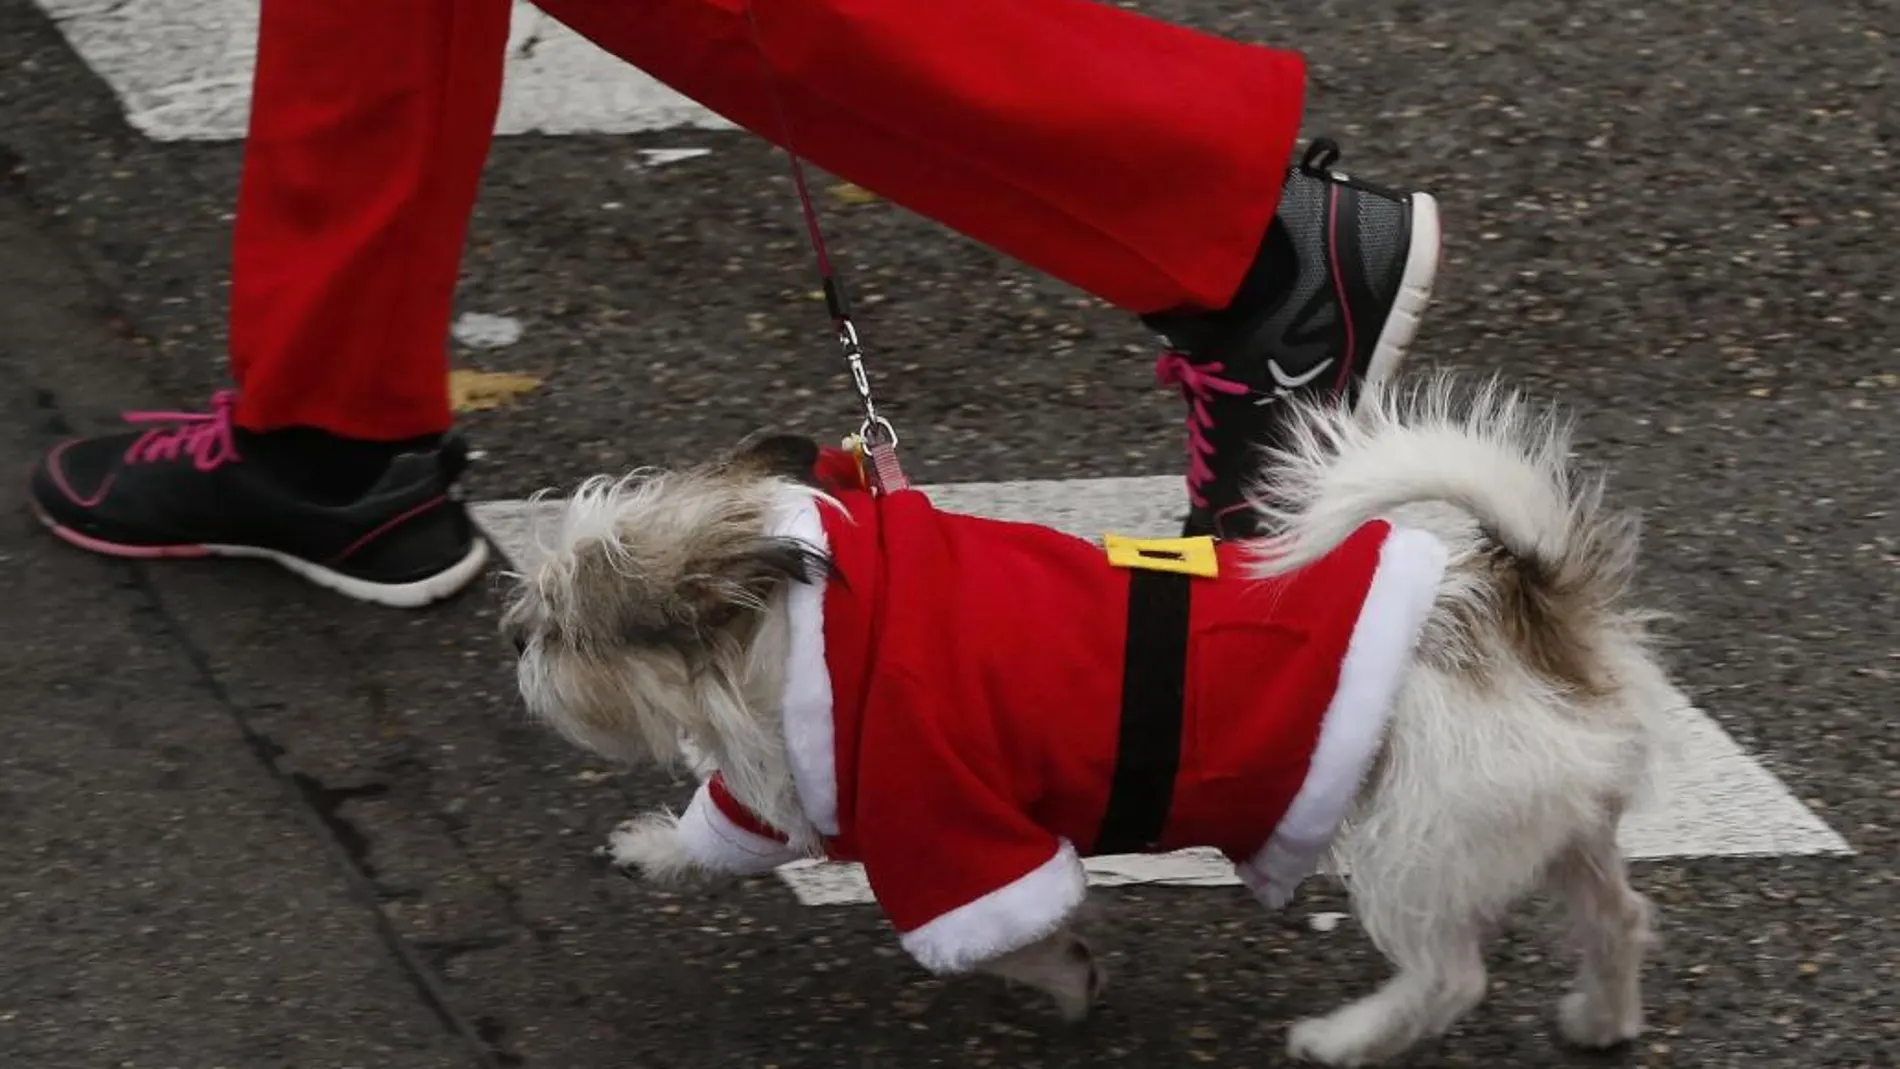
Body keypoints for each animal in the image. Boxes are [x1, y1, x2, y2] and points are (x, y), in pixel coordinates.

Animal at [501, 374, 1679, 1063]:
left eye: (569, 625)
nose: (520, 642)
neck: (814, 614)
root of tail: (1528, 608)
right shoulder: (806, 779)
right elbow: (727, 824)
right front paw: (658, 848)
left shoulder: (952, 832)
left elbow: (1002, 939)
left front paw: (1065, 976)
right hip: (1555, 824)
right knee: (1617, 915)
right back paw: (1602, 1019)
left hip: (1419, 843)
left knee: (1449, 974)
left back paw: (1343, 1038)